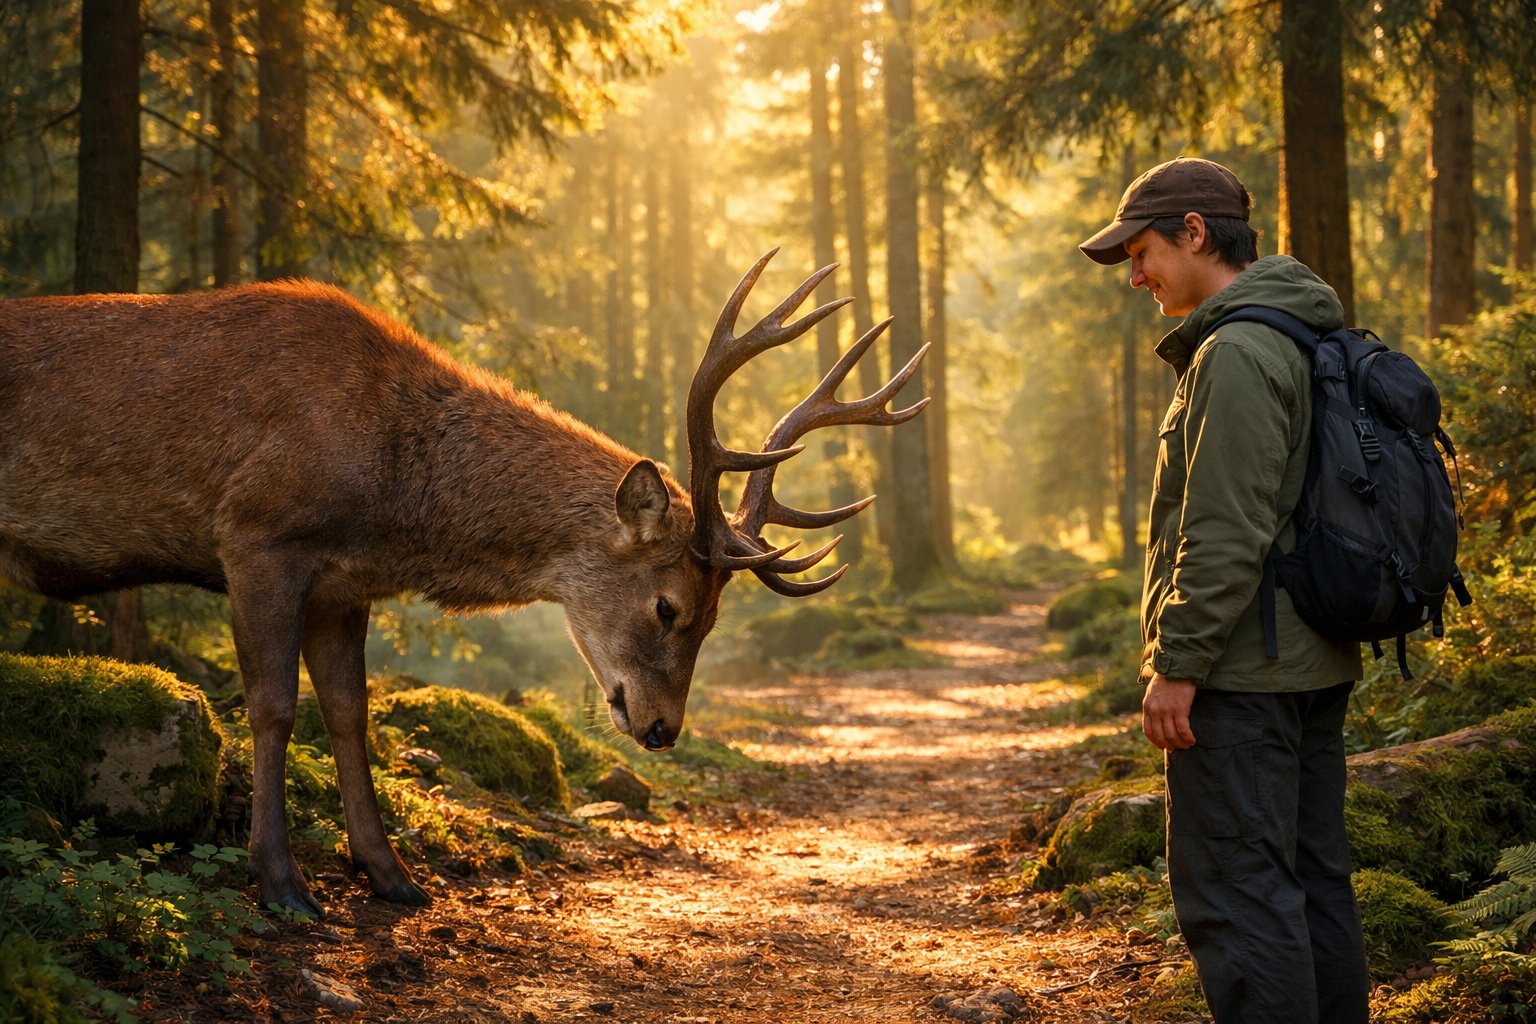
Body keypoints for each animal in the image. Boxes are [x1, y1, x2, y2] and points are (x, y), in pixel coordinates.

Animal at [0, 249, 927, 917]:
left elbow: (350, 712)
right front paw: (282, 884)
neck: (391, 495)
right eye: (669, 606)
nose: (664, 729)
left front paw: (391, 875)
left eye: (712, 620)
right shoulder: (257, 534)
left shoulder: (341, 584)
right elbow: (271, 707)